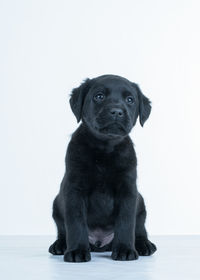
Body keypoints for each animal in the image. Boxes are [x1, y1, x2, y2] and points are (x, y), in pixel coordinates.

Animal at [49, 75, 157, 262]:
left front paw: (125, 249)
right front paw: (77, 250)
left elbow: (126, 222)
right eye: (99, 96)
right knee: (63, 230)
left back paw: (144, 245)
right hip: (57, 204)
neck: (105, 149)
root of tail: (100, 244)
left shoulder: (128, 190)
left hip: (141, 202)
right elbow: (76, 223)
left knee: (139, 229)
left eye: (130, 100)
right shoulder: (74, 190)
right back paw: (60, 245)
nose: (116, 111)